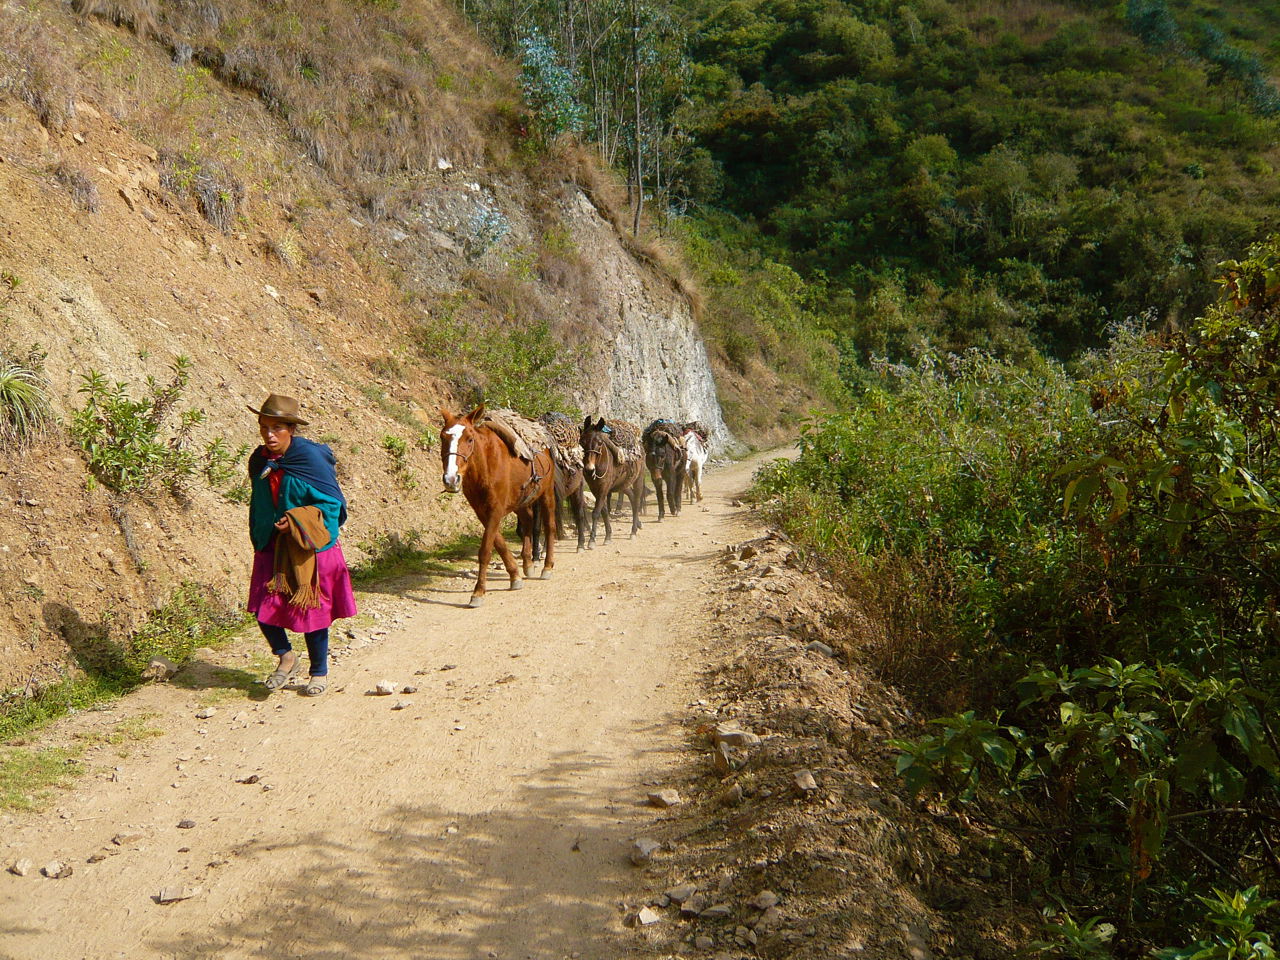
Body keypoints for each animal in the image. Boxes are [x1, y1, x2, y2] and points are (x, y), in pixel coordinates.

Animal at [440, 407, 555, 609]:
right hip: (520, 501)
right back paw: (528, 564)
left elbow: (486, 550)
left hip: (546, 494)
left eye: (469, 439)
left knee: (549, 526)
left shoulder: (496, 510)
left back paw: (547, 566)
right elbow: (499, 544)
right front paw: (515, 576)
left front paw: (478, 592)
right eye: (442, 437)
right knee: (527, 521)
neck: (485, 466)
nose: (451, 479)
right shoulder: (481, 511)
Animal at [581, 414, 645, 547]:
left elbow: (596, 512)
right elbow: (604, 511)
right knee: (631, 497)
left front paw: (592, 540)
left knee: (636, 501)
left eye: (600, 442)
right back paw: (637, 524)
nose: (589, 469)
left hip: (638, 480)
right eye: (582, 441)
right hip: (623, 484)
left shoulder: (604, 488)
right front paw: (608, 536)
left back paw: (633, 531)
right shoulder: (596, 489)